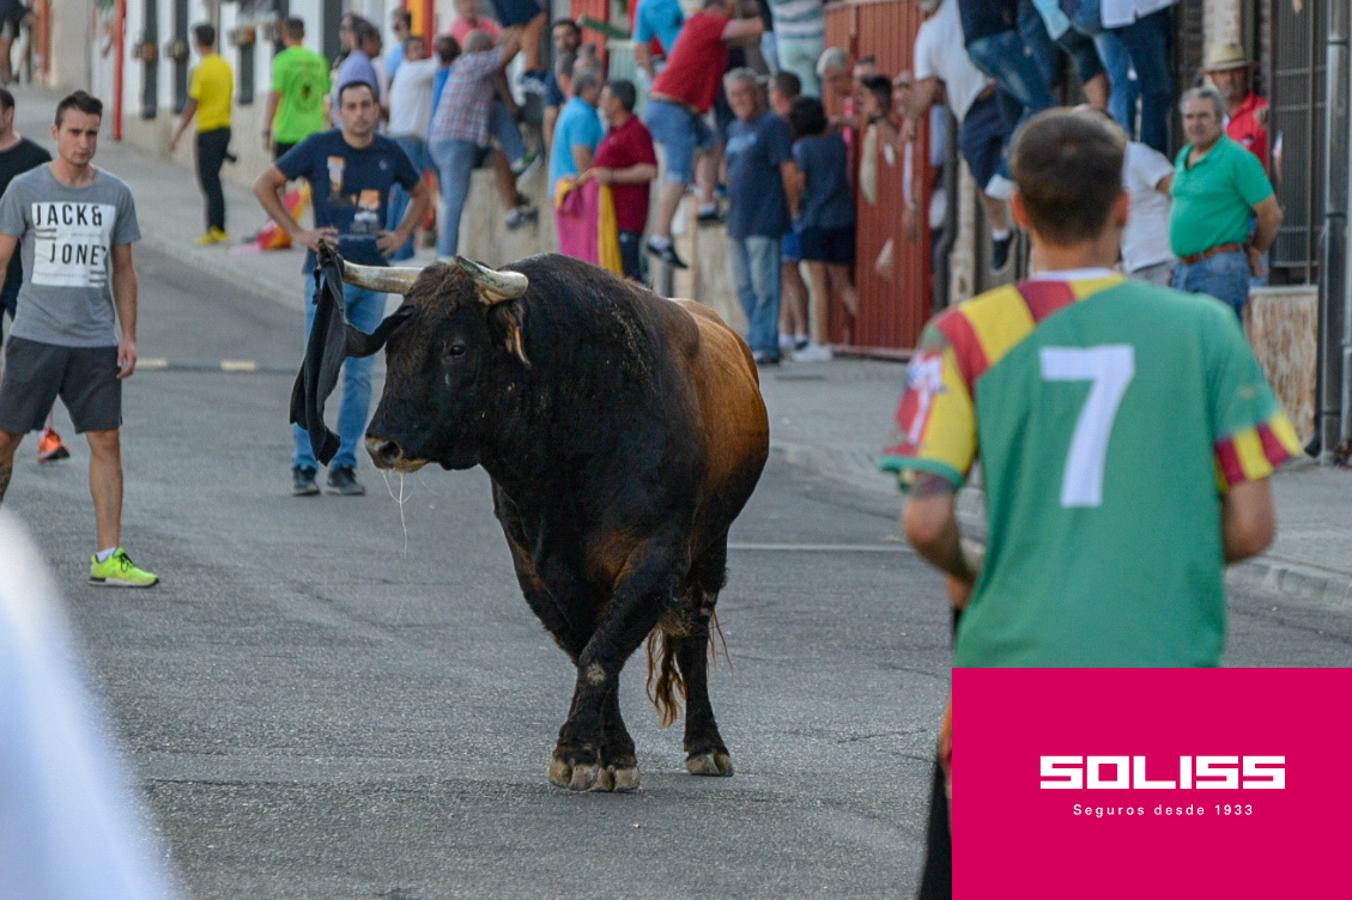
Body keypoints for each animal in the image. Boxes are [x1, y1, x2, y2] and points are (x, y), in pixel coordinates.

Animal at [289, 247, 767, 794]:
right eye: (393, 346)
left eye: (456, 348)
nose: (380, 444)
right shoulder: (536, 565)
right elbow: (589, 647)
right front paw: (608, 754)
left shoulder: (658, 556)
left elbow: (602, 653)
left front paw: (577, 754)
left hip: (710, 548)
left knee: (691, 637)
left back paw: (707, 746)